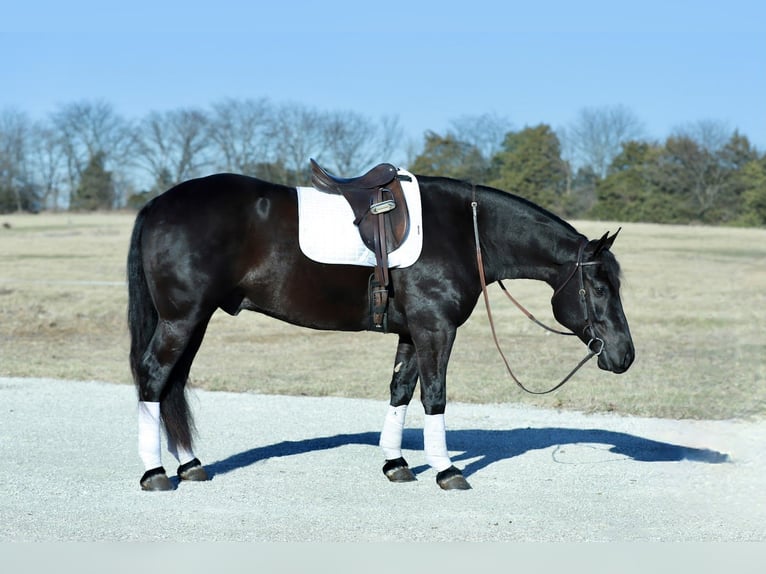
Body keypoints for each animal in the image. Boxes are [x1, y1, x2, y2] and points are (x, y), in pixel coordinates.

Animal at [127, 166, 635, 491]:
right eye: (599, 286)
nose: (624, 355)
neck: (465, 231)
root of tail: (159, 203)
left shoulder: (413, 333)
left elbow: (400, 392)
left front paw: (396, 463)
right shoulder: (436, 330)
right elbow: (434, 397)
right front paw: (446, 470)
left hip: (195, 321)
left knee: (172, 382)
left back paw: (189, 465)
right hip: (182, 319)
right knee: (153, 376)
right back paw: (155, 474)